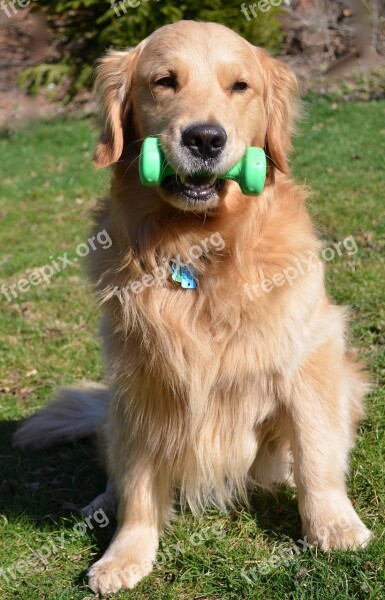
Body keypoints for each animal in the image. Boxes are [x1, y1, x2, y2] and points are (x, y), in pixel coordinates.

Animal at [13, 19, 370, 596]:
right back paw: (99, 503)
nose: (205, 138)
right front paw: (125, 554)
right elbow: (138, 486)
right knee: (116, 469)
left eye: (240, 86)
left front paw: (334, 527)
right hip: (115, 406)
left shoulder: (311, 357)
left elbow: (317, 453)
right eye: (164, 81)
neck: (198, 248)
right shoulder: (141, 384)